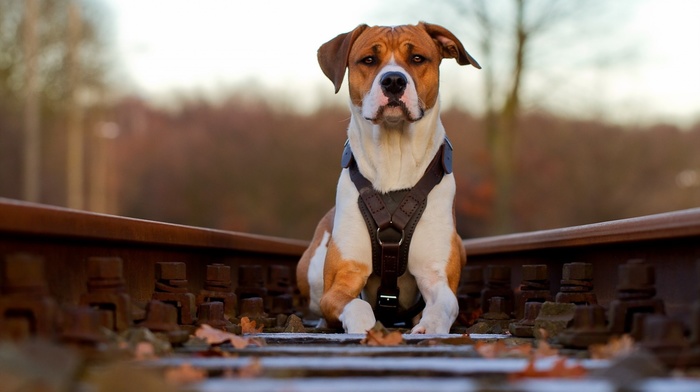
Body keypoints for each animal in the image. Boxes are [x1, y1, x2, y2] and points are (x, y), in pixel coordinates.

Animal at [296, 21, 482, 334]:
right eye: (369, 60)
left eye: (417, 58)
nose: (393, 81)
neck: (395, 157)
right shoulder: (343, 278)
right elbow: (356, 304)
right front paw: (367, 328)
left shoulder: (436, 274)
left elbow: (446, 304)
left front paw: (429, 326)